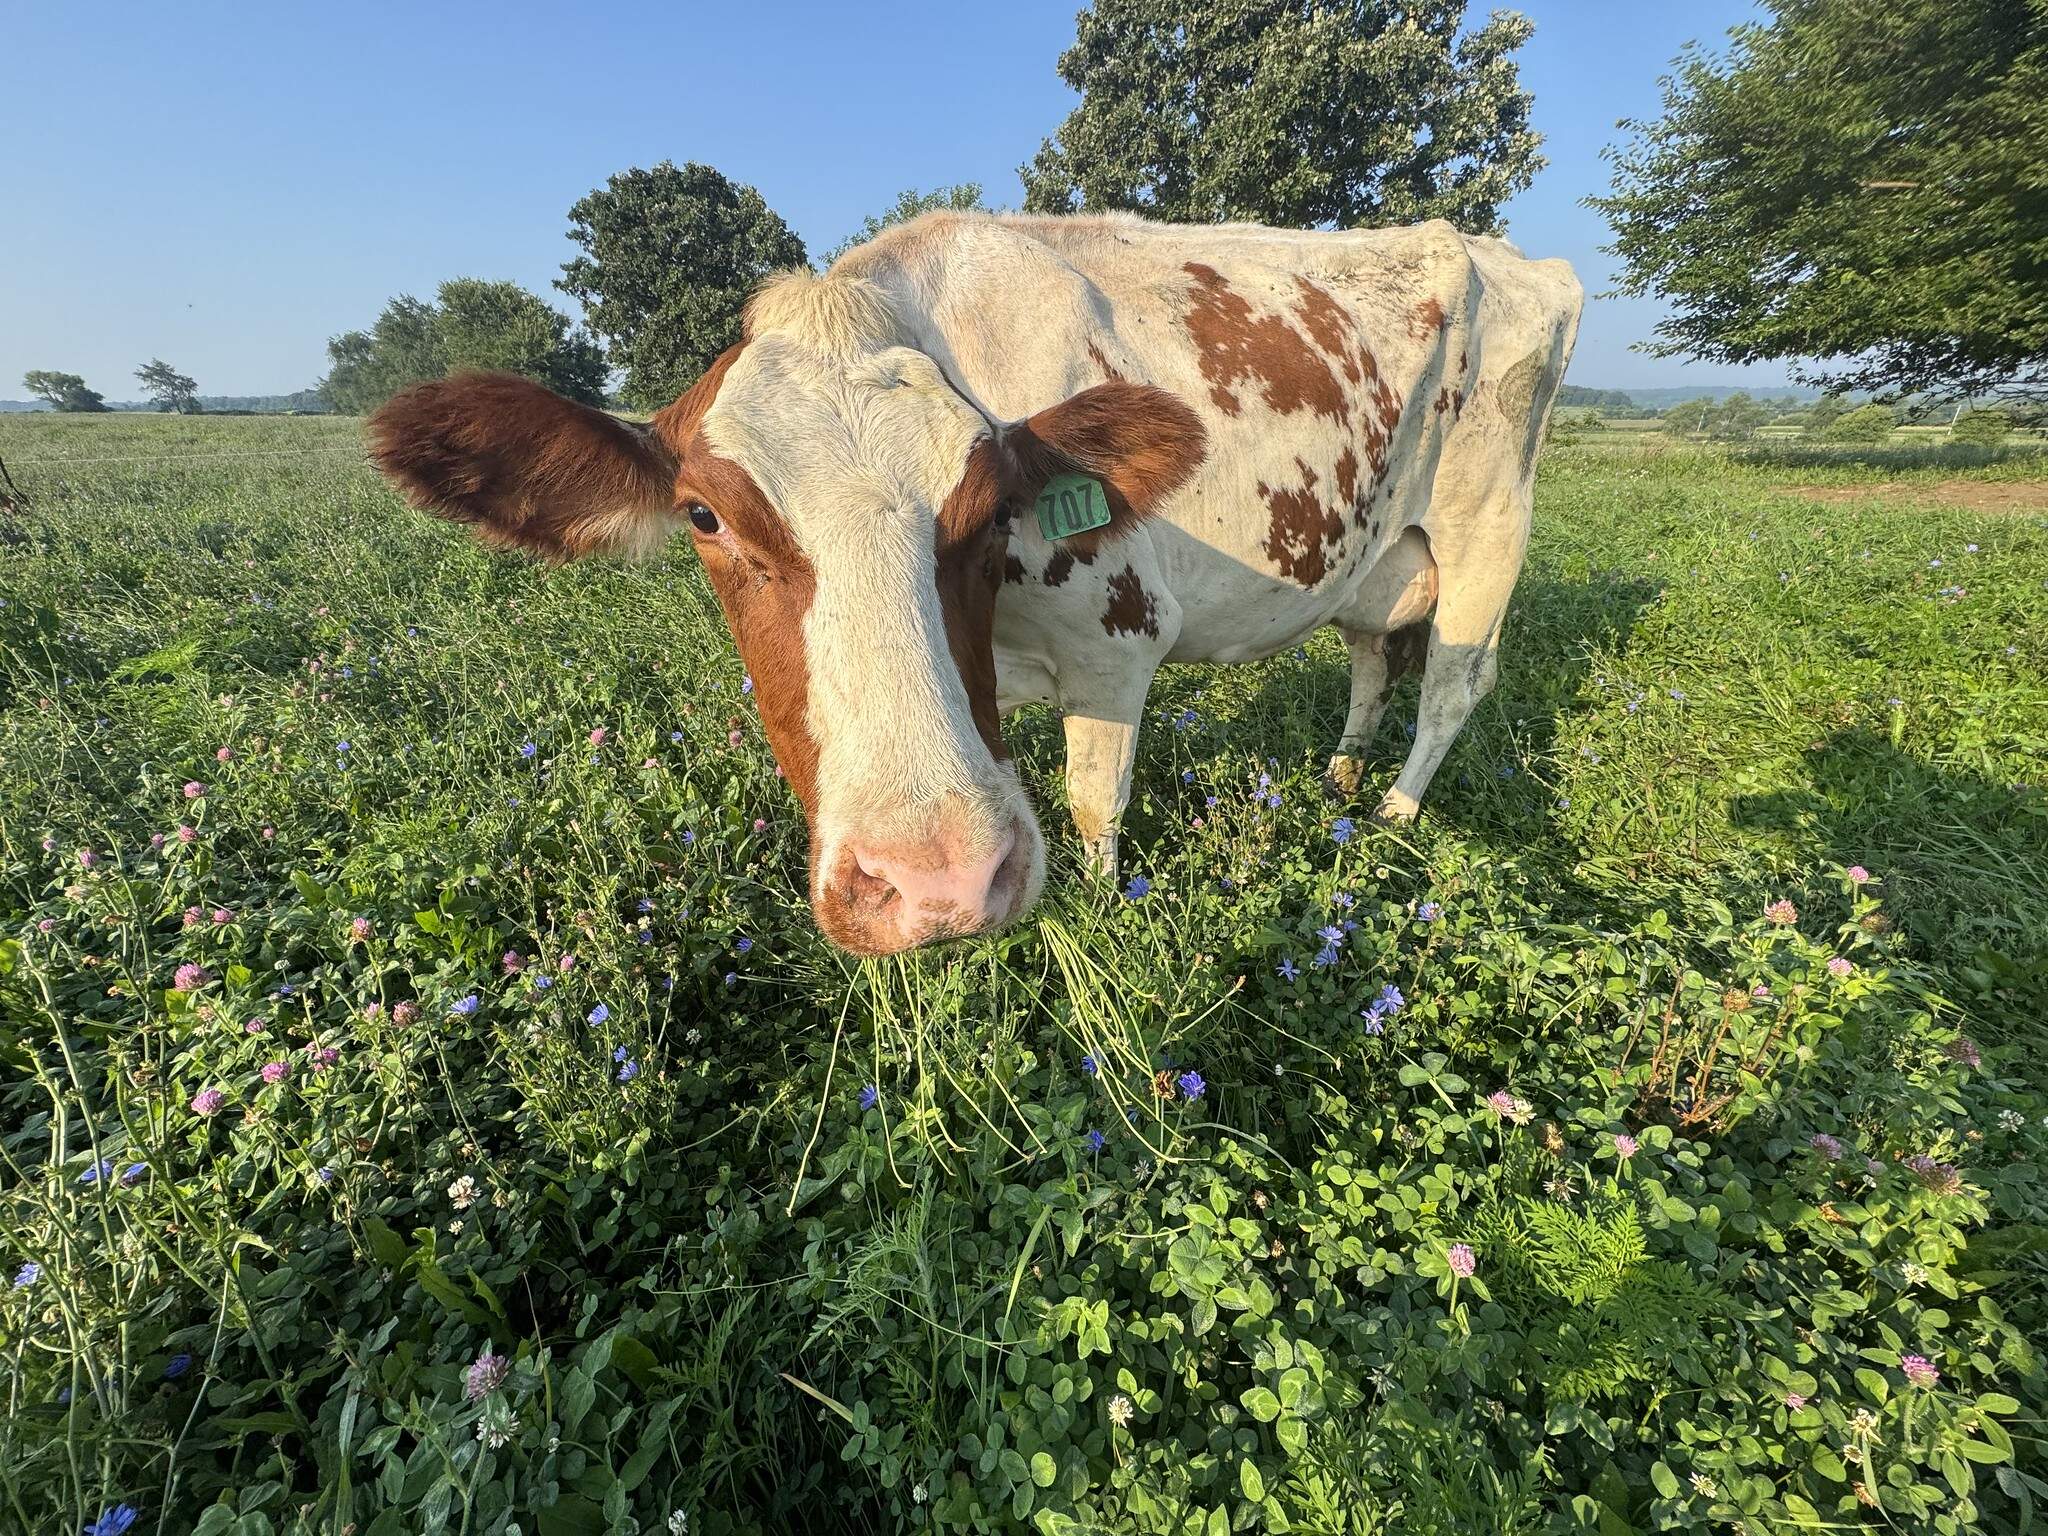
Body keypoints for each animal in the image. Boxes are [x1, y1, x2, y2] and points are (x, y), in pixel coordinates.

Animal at [369, 212, 1581, 956]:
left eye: (992, 501)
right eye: (705, 516)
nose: (934, 888)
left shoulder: (1116, 645)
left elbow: (1094, 809)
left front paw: (1102, 918)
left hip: (1487, 525)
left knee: (1451, 685)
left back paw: (1390, 813)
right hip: (1381, 555)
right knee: (1374, 652)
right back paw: (1337, 776)